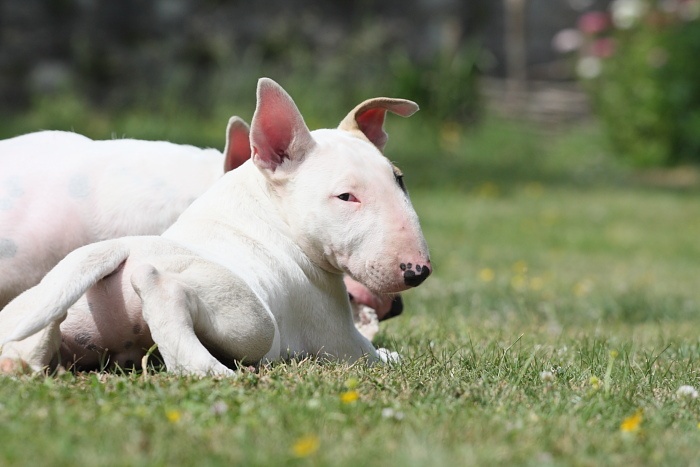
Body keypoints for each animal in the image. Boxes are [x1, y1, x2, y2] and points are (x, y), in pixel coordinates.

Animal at [0, 78, 431, 375]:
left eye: (400, 179)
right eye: (345, 197)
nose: (418, 271)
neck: (269, 210)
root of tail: (119, 248)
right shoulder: (338, 335)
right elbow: (374, 354)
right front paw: (393, 353)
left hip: (39, 306)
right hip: (251, 319)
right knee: (165, 294)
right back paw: (216, 372)